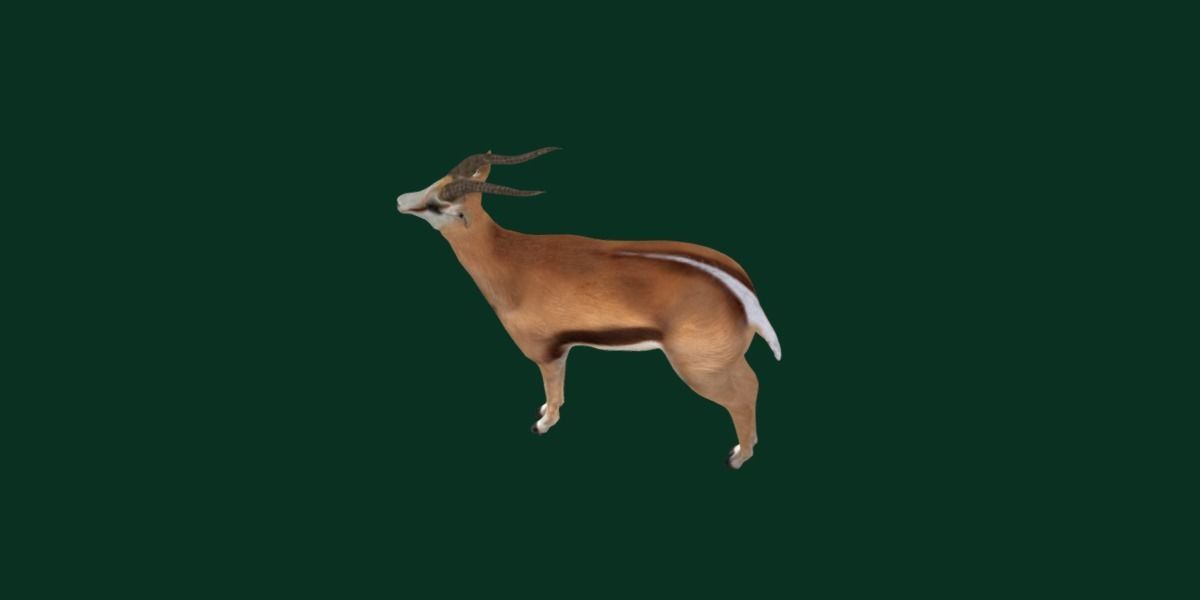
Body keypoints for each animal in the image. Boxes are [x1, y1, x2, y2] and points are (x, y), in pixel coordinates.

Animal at [394, 148, 781, 469]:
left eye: (438, 206)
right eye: (438, 181)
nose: (400, 200)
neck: (509, 260)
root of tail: (744, 293)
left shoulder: (547, 351)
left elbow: (553, 388)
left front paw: (543, 423)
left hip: (700, 369)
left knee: (744, 395)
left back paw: (737, 457)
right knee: (753, 384)